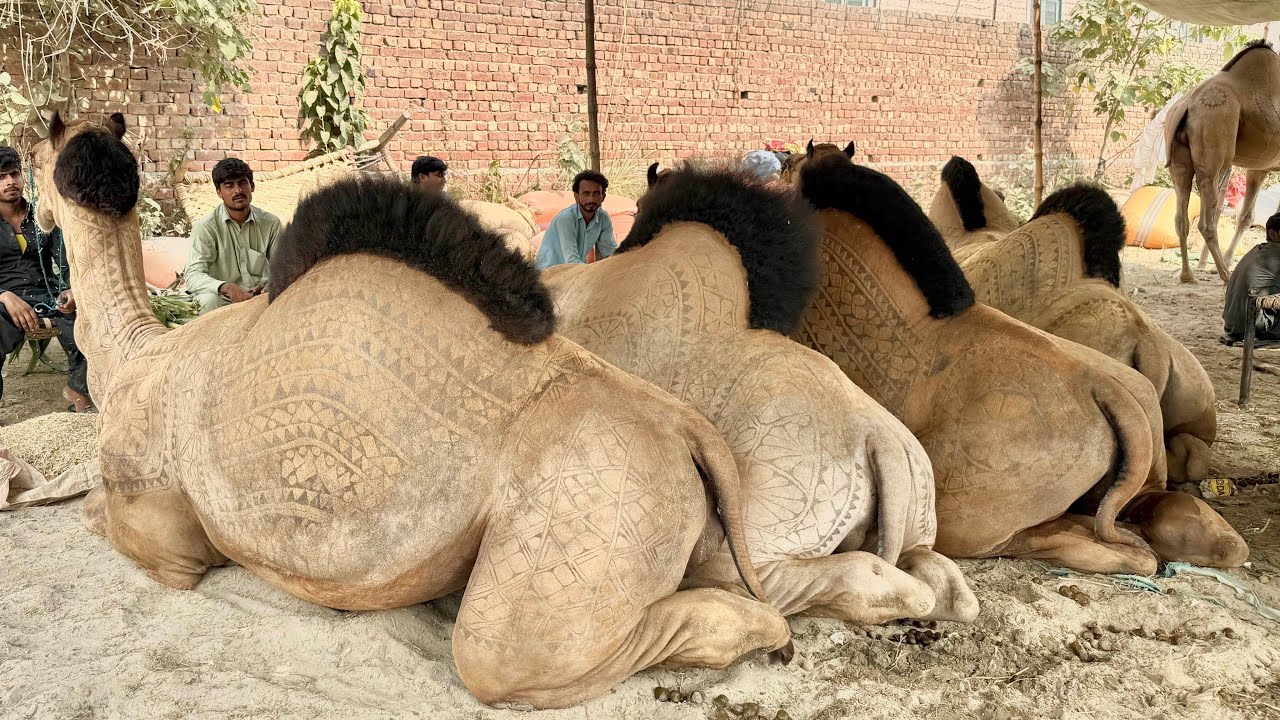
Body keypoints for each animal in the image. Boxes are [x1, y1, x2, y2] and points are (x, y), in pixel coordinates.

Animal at [31, 113, 792, 710]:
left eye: (33, 155)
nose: (35, 219)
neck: (135, 355)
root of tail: (684, 429)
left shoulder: (170, 543)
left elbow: (100, 516)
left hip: (577, 520)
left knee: (504, 658)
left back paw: (774, 638)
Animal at [1165, 39, 1280, 283]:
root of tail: (1186, 104)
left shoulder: (1259, 168)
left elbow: (1246, 216)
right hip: (1216, 142)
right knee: (1206, 222)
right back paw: (1225, 276)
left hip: (1179, 161)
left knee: (1181, 216)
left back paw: (1187, 275)